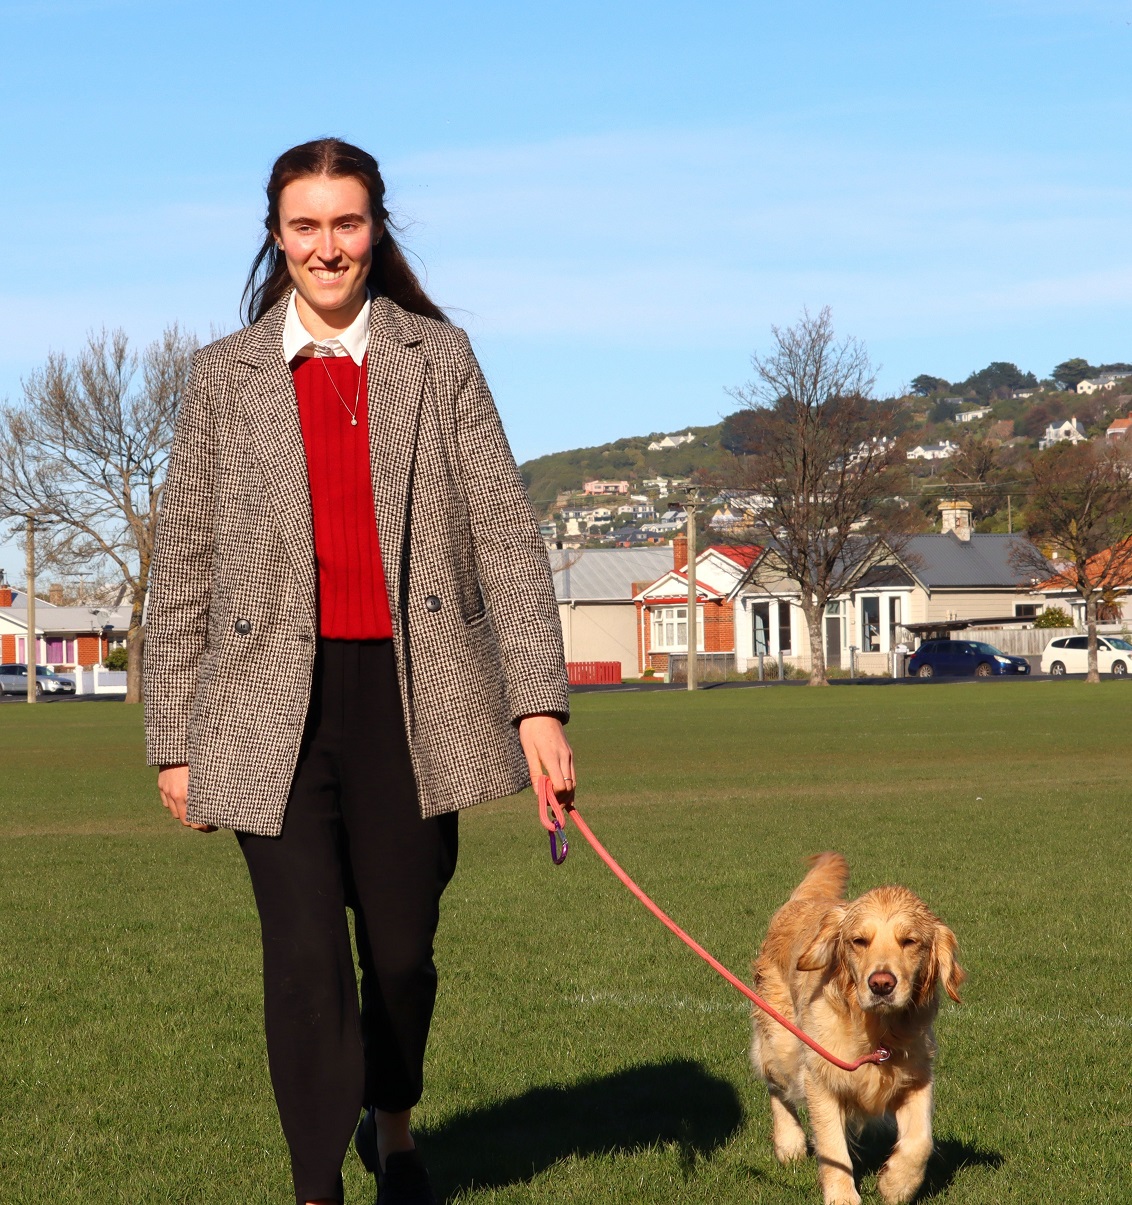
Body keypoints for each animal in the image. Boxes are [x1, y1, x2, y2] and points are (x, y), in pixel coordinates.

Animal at [752, 853, 964, 1200]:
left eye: (910, 941)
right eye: (859, 941)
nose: (881, 984)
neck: (878, 1030)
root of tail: (800, 901)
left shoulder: (917, 1076)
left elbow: (921, 1142)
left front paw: (896, 1184)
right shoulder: (821, 1079)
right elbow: (833, 1149)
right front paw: (842, 1196)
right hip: (783, 1041)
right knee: (776, 1085)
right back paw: (789, 1142)